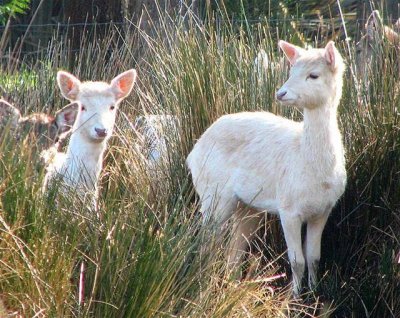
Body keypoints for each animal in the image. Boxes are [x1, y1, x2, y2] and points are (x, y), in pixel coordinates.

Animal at [188, 40, 346, 296]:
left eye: (313, 75)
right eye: (291, 71)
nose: (280, 93)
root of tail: (192, 154)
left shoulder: (324, 210)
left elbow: (314, 257)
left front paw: (313, 293)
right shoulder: (288, 208)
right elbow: (297, 260)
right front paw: (293, 297)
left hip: (248, 207)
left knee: (234, 249)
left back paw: (232, 286)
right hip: (213, 195)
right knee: (208, 241)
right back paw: (204, 284)